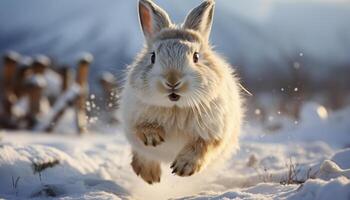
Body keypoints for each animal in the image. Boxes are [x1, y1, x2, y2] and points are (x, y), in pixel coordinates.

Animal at [118, 0, 243, 184]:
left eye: (196, 57)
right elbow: (143, 130)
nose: (172, 81)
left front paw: (183, 168)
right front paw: (153, 138)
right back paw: (150, 175)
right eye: (153, 57)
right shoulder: (134, 119)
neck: (175, 107)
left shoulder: (214, 133)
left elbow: (201, 146)